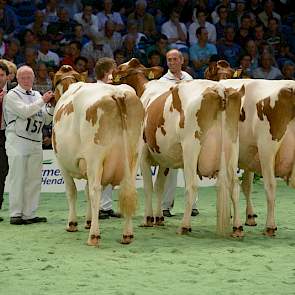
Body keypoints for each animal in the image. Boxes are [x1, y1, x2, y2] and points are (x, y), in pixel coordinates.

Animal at [53, 66, 146, 246]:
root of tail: (117, 93)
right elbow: (86, 191)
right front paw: (88, 221)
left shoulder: (62, 162)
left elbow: (72, 191)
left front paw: (72, 223)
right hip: (134, 155)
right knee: (128, 190)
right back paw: (127, 234)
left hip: (95, 157)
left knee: (95, 191)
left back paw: (94, 236)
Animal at [113, 59, 245, 237]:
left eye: (120, 68)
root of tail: (219, 89)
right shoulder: (164, 159)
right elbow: (159, 186)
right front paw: (159, 218)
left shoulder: (144, 155)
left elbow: (148, 187)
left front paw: (148, 219)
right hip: (232, 147)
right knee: (235, 186)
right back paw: (237, 227)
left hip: (191, 147)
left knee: (192, 186)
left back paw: (184, 226)